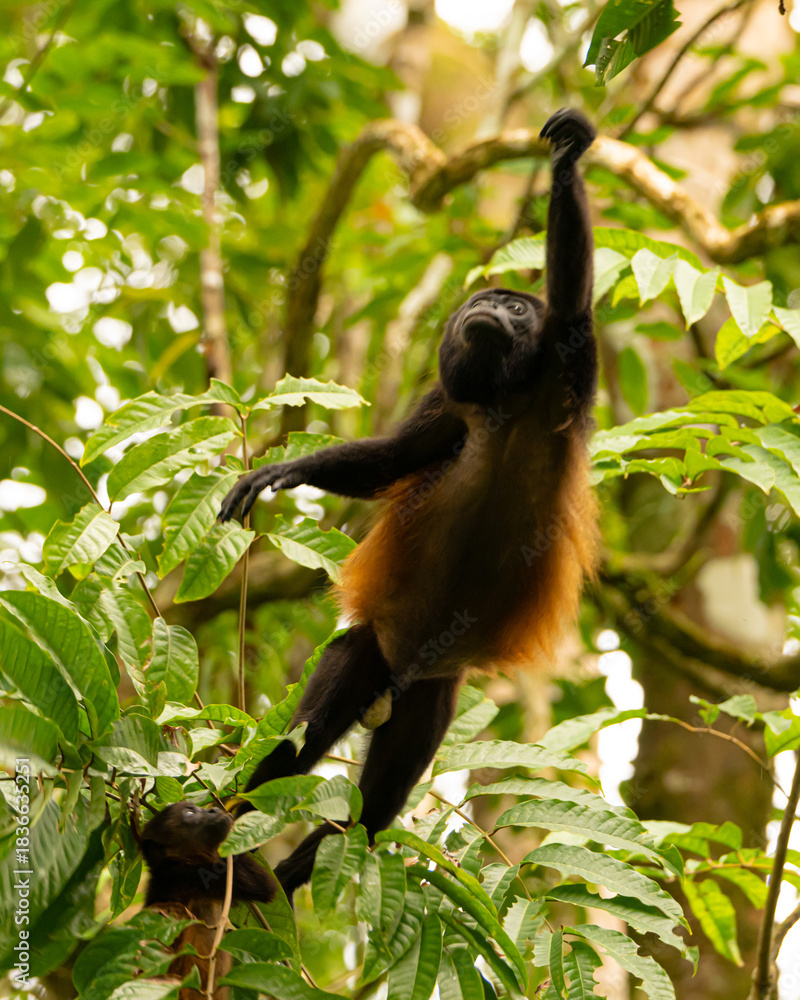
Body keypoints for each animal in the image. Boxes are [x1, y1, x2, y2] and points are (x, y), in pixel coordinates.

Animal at [218, 108, 599, 897]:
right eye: (486, 302)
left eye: (513, 305)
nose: (486, 304)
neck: (506, 400)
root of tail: (398, 675)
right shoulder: (445, 404)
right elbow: (397, 458)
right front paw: (279, 473)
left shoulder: (570, 364)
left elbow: (574, 301)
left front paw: (568, 157)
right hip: (367, 652)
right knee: (301, 739)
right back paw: (231, 825)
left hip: (433, 696)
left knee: (383, 795)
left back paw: (303, 861)